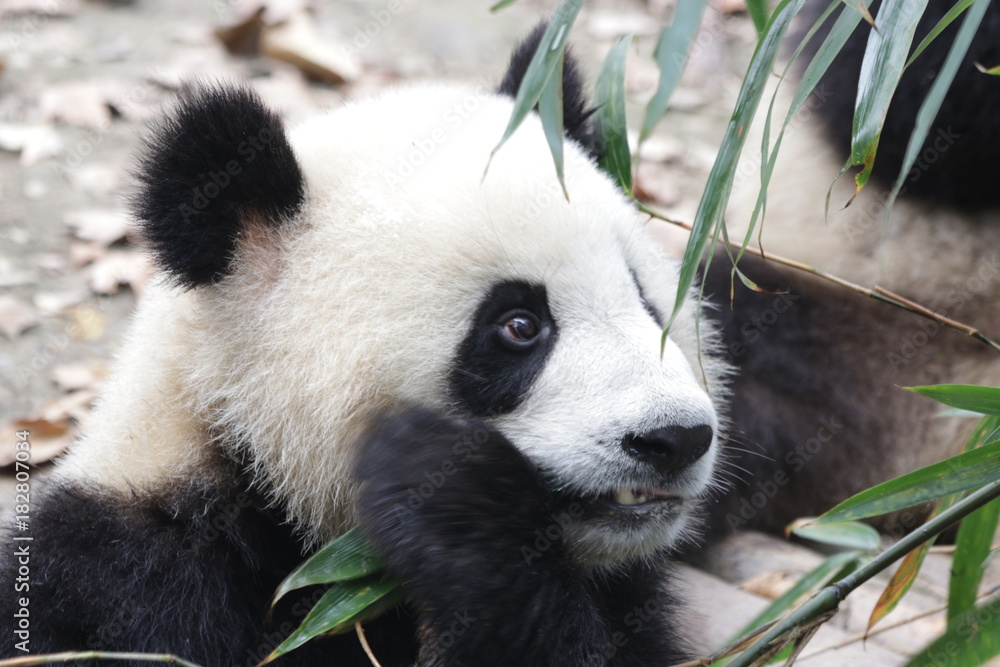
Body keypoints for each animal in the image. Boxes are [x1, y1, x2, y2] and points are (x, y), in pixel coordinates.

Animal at [1, 29, 729, 667]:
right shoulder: (130, 579)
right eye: (519, 326)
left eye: (645, 299)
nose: (675, 438)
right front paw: (454, 491)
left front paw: (457, 509)